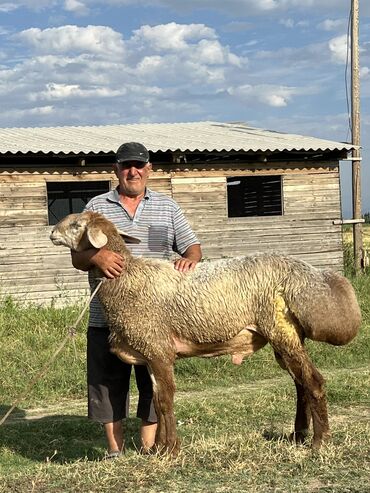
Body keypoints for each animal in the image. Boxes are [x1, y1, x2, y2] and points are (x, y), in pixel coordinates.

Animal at [49, 210, 362, 454]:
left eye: (76, 224)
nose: (51, 233)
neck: (126, 278)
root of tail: (309, 276)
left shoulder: (158, 349)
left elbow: (164, 400)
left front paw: (169, 450)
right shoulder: (150, 354)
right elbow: (157, 402)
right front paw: (160, 447)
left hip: (282, 331)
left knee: (314, 382)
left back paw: (319, 442)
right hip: (286, 336)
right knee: (300, 384)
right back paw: (298, 435)